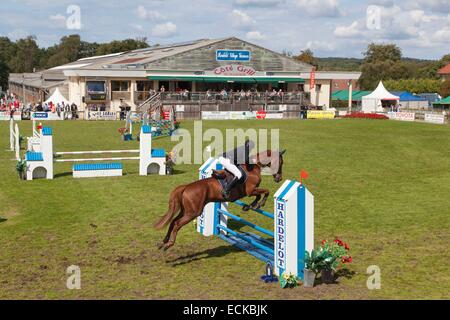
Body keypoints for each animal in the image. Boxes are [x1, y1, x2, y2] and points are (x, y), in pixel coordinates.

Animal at [153, 149, 284, 251]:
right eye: (281, 162)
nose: (279, 178)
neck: (254, 166)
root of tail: (186, 187)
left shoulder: (251, 191)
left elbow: (260, 194)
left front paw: (249, 206)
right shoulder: (250, 190)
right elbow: (265, 192)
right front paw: (258, 204)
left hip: (186, 210)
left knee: (173, 221)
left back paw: (163, 242)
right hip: (193, 212)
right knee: (177, 224)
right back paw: (169, 244)